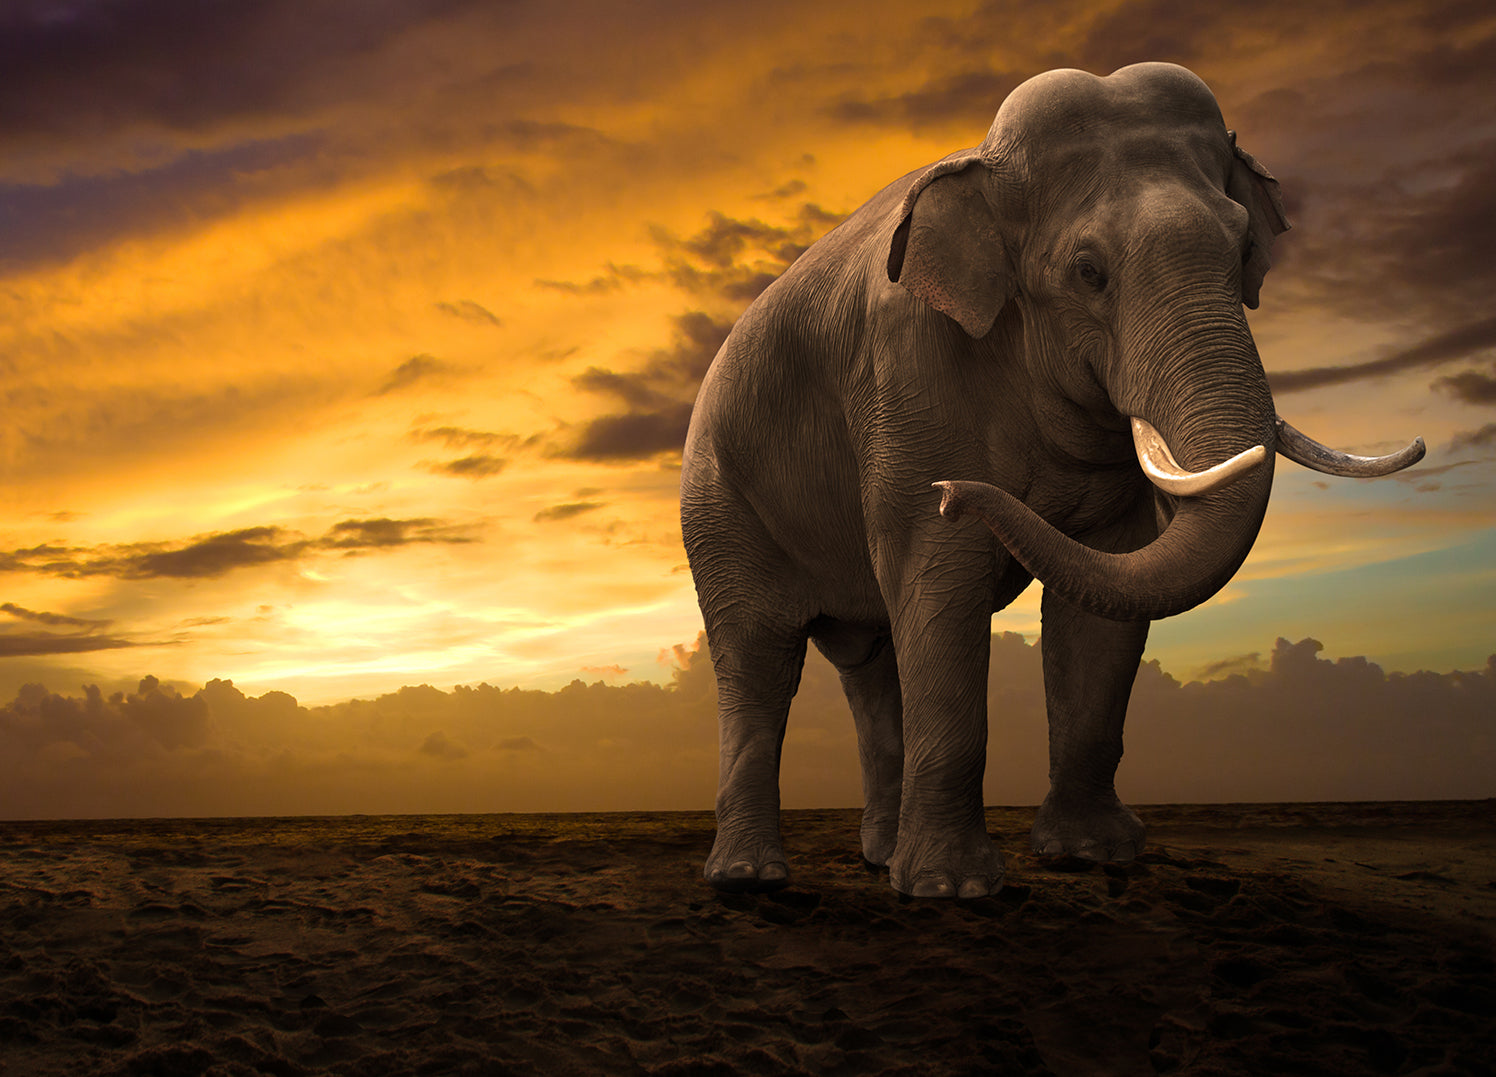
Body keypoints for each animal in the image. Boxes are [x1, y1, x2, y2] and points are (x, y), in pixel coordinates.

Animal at [678, 62, 1424, 898]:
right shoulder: (908, 376)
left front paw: (1090, 856)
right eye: (1089, 272)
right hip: (719, 501)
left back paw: (879, 856)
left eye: (1242, 249)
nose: (954, 492)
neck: (983, 164)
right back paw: (750, 877)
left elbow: (1105, 593)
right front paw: (953, 890)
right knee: (757, 656)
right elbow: (940, 580)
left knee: (870, 663)